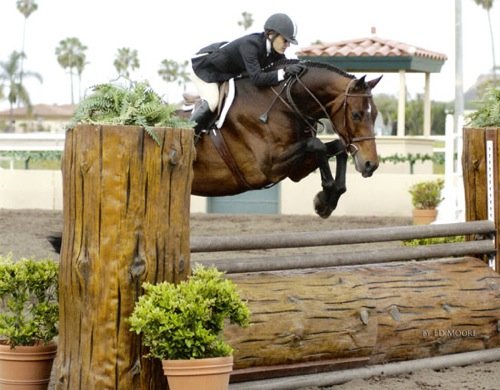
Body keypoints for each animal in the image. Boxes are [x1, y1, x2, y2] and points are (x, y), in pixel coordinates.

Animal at [189, 60, 380, 219]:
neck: (285, 104)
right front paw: (324, 197)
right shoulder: (268, 167)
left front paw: (326, 202)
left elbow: (337, 147)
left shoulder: (296, 169)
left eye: (375, 115)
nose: (370, 164)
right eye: (356, 115)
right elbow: (317, 145)